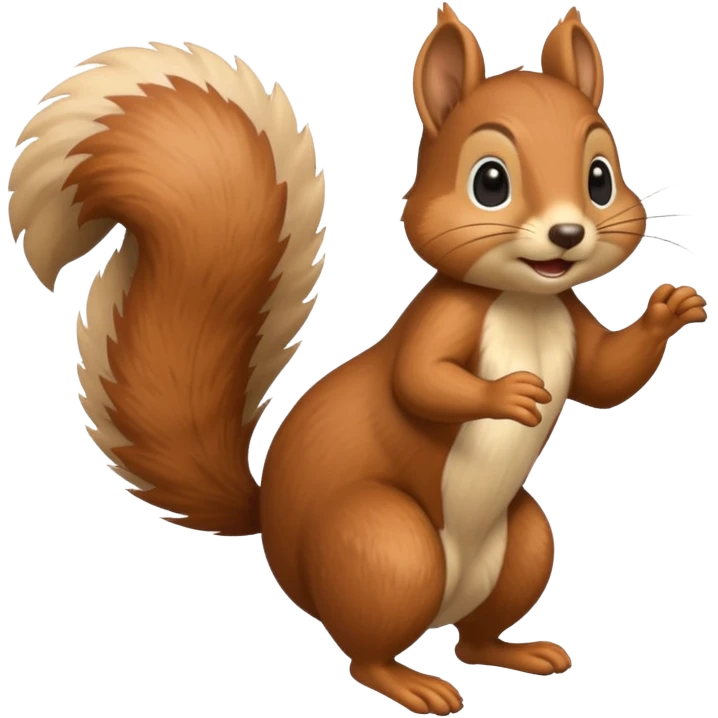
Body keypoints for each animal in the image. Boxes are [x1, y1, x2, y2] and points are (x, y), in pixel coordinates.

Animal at [8, 4, 709, 715]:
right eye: (490, 182)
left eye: (600, 178)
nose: (568, 235)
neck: (525, 303)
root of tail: (271, 528)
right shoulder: (441, 319)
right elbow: (418, 383)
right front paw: (509, 394)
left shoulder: (570, 318)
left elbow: (606, 379)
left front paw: (672, 308)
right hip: (386, 547)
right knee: (367, 652)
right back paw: (412, 684)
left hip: (524, 548)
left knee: (473, 639)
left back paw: (518, 653)